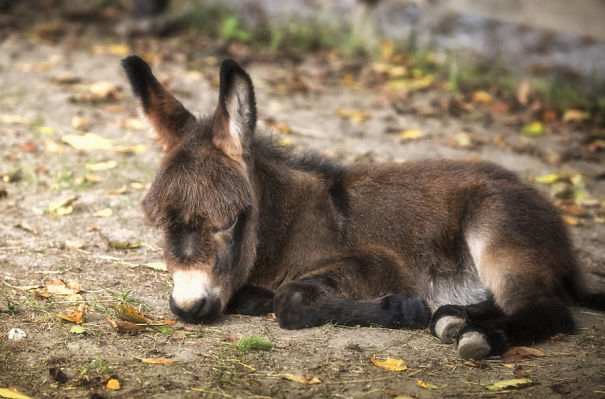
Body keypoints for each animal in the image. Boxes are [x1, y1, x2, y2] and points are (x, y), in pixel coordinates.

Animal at [120, 55, 600, 360]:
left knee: (548, 309)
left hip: (494, 229)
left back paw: (475, 333)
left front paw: (402, 310)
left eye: (231, 221)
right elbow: (257, 295)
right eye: (162, 222)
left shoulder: (381, 264)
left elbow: (291, 299)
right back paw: (452, 318)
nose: (188, 308)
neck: (291, 225)